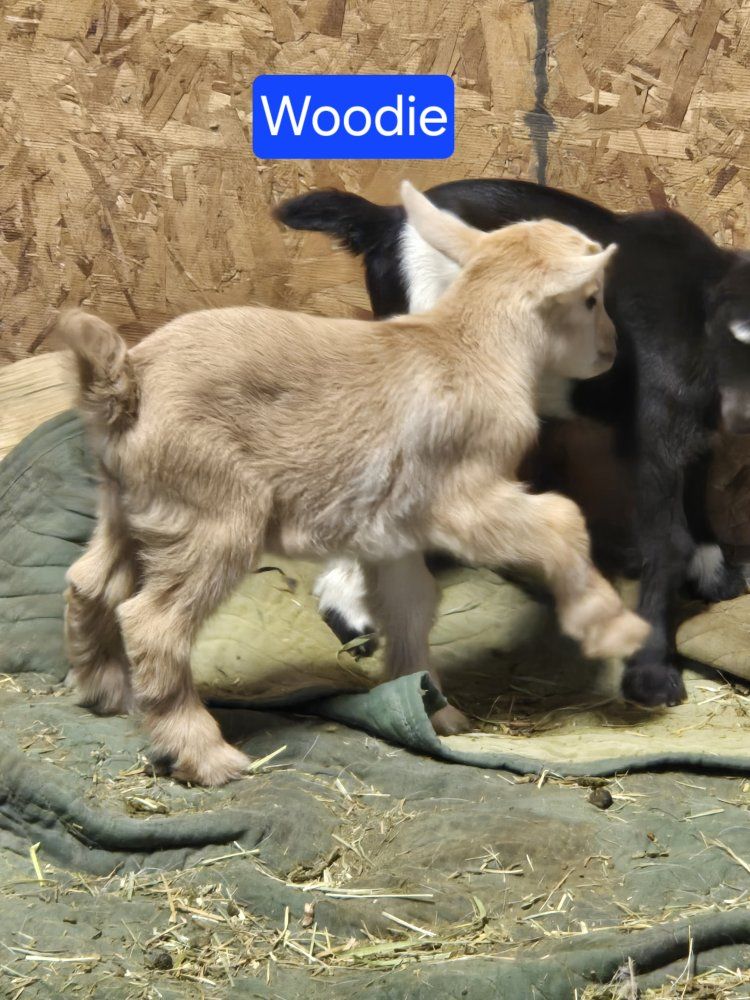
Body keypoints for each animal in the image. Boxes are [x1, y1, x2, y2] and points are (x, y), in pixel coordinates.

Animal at [60, 183, 648, 786]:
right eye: (591, 299)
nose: (612, 350)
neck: (471, 344)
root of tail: (126, 385)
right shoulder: (464, 500)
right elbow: (561, 521)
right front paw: (611, 628)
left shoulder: (395, 531)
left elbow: (411, 604)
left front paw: (432, 707)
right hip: (213, 514)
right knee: (152, 624)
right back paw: (204, 754)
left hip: (132, 505)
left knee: (90, 581)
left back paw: (103, 688)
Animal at [277, 178, 750, 710]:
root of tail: (387, 219)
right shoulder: (655, 429)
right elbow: (667, 540)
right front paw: (651, 673)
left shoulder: (695, 426)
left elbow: (699, 489)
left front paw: (716, 575)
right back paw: (349, 610)